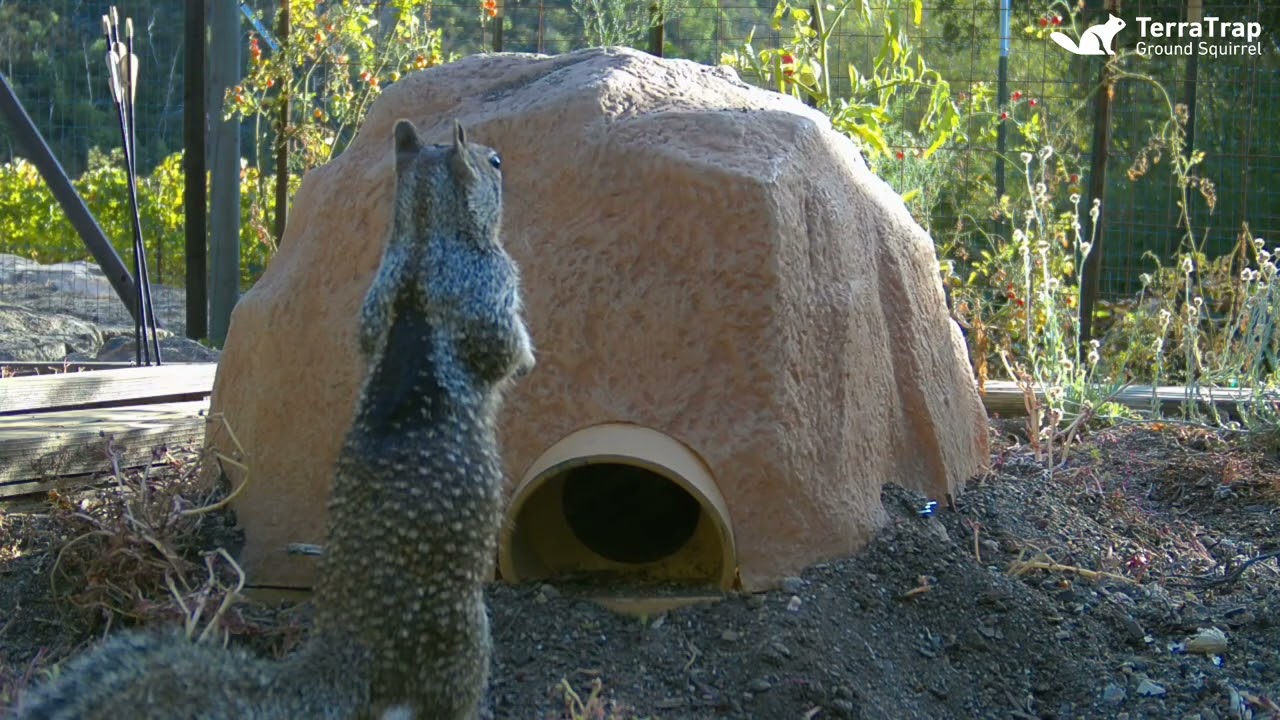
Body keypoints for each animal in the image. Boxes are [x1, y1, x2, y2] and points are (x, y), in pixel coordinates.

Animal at [11, 119, 535, 720]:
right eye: (493, 163)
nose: (505, 161)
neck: (424, 239)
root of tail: (343, 655)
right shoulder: (487, 286)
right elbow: (505, 349)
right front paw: (527, 361)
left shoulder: (379, 300)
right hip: (463, 642)